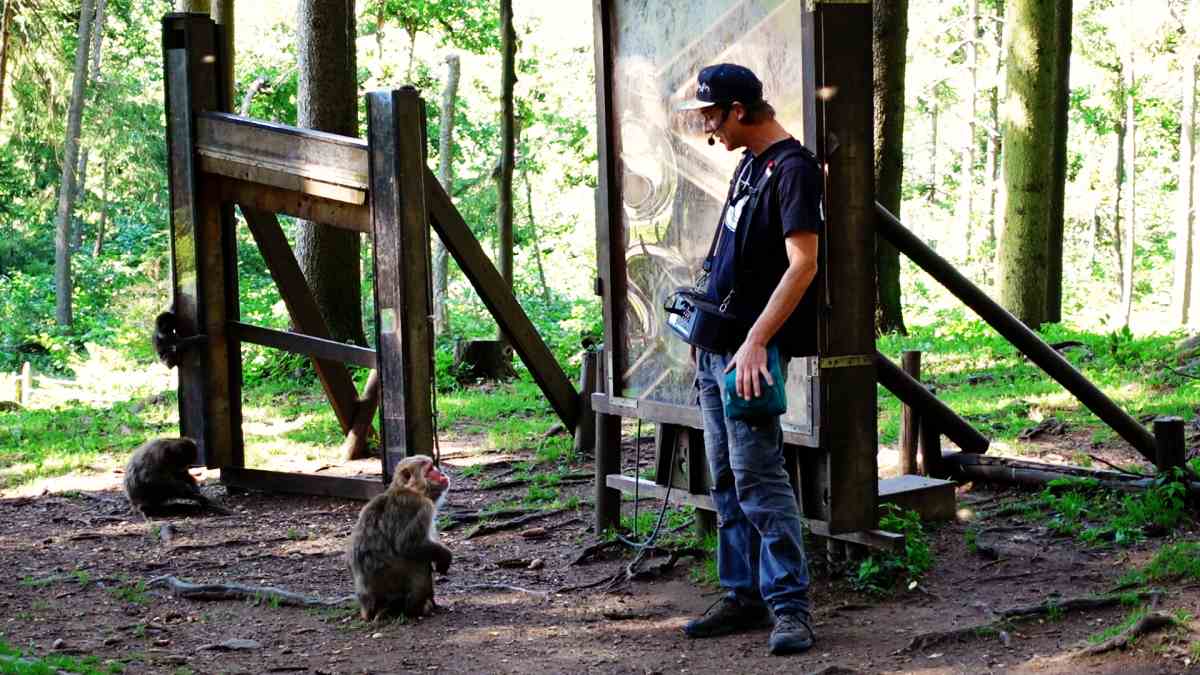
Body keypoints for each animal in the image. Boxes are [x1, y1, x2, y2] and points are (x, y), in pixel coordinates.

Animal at [352, 451, 456, 619]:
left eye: (433, 466)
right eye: (430, 469)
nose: (441, 473)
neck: (412, 489)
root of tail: (369, 608)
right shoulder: (423, 506)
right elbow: (407, 545)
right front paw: (445, 555)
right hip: (393, 593)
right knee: (417, 562)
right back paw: (416, 609)